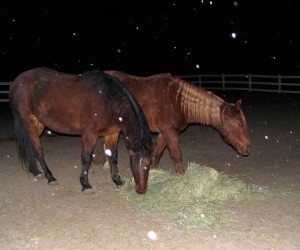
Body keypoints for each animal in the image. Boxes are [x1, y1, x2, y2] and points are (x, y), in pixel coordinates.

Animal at [8, 67, 152, 194]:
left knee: (30, 146)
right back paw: (50, 177)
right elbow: (86, 158)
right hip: (29, 122)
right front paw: (85, 184)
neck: (105, 99)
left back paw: (36, 172)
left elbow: (113, 157)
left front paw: (117, 180)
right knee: (38, 150)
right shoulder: (89, 134)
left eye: (149, 165)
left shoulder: (112, 134)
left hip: (38, 124)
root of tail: (15, 82)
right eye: (132, 164)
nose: (141, 190)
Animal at [94, 70, 251, 175]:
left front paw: (153, 172)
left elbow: (157, 154)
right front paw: (183, 177)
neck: (179, 101)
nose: (248, 148)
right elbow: (176, 155)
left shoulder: (165, 133)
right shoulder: (169, 132)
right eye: (240, 124)